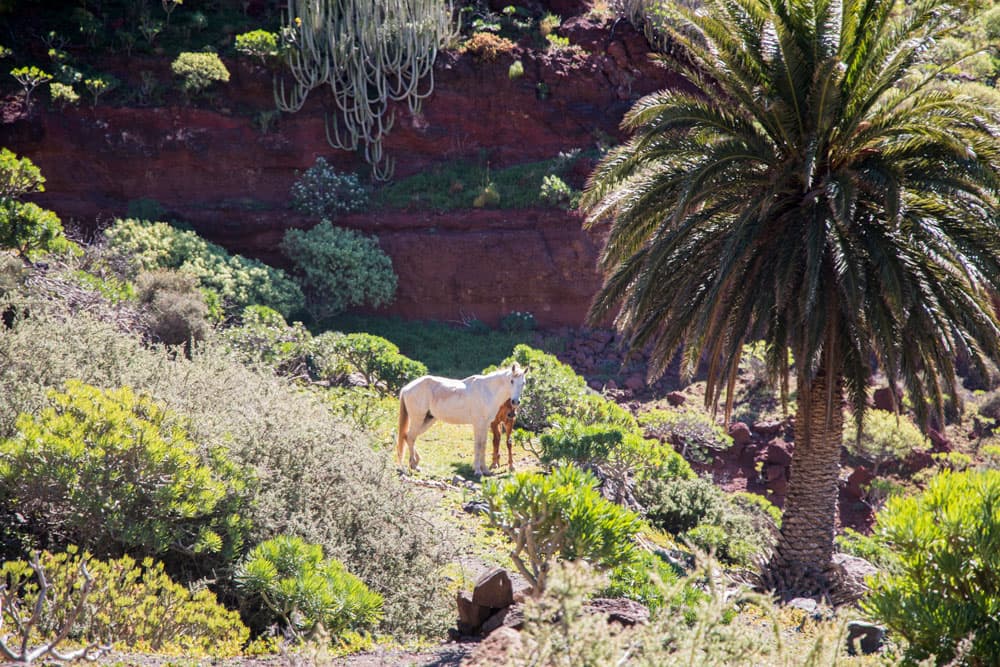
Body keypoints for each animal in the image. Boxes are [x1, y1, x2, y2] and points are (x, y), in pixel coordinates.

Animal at [396, 363, 527, 476]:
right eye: (511, 381)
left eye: (523, 383)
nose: (515, 402)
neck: (487, 391)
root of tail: (407, 388)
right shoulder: (478, 424)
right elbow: (478, 445)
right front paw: (478, 471)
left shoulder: (485, 425)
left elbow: (483, 445)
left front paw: (485, 470)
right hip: (418, 419)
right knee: (411, 437)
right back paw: (414, 465)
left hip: (428, 420)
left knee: (408, 437)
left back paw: (415, 464)